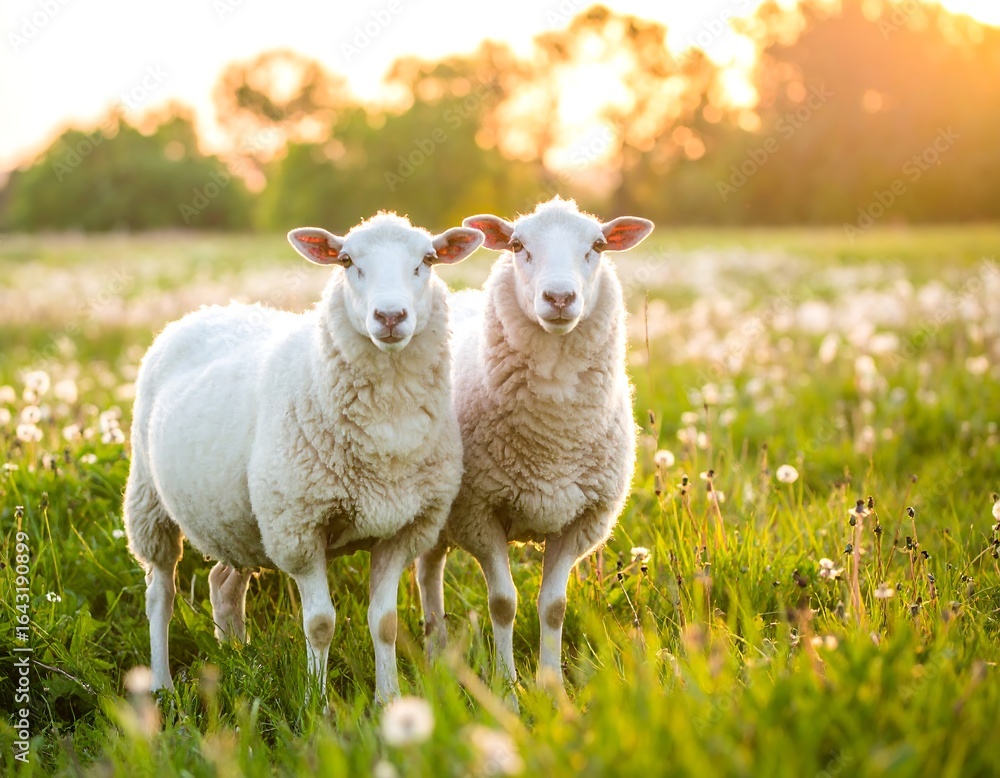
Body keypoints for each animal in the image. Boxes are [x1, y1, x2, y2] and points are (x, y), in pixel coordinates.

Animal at [123, 212, 484, 702]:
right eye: (347, 260)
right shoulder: (298, 529)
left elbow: (386, 623)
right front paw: (316, 703)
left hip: (240, 520)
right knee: (160, 593)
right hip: (150, 500)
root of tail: (205, 311)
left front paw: (387, 699)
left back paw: (238, 660)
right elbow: (320, 624)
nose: (390, 316)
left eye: (427, 259)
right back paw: (161, 685)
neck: (387, 432)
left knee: (223, 585)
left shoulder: (403, 528)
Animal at [416, 197, 653, 699]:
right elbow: (503, 603)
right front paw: (506, 686)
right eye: (517, 246)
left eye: (597, 246)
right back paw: (435, 653)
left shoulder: (581, 520)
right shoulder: (478, 512)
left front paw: (552, 687)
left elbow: (554, 607)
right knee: (427, 572)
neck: (552, 440)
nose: (559, 298)